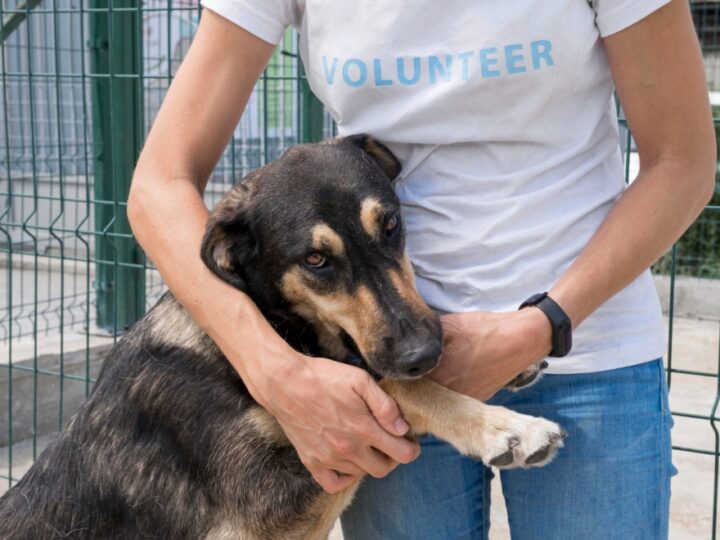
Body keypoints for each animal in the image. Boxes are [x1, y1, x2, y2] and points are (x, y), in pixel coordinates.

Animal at [0, 135, 564, 540]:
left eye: (391, 225)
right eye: (315, 260)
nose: (422, 354)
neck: (276, 328)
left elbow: (380, 369)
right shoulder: (261, 508)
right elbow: (387, 385)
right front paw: (503, 427)